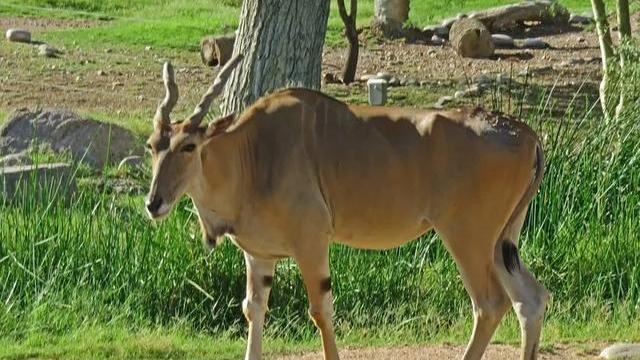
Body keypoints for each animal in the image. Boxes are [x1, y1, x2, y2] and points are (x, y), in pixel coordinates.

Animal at [146, 54, 552, 360]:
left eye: (189, 147)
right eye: (152, 145)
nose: (154, 203)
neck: (254, 152)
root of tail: (527, 135)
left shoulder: (311, 243)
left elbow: (320, 311)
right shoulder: (259, 254)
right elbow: (253, 308)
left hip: (467, 237)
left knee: (490, 303)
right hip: (499, 243)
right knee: (530, 299)